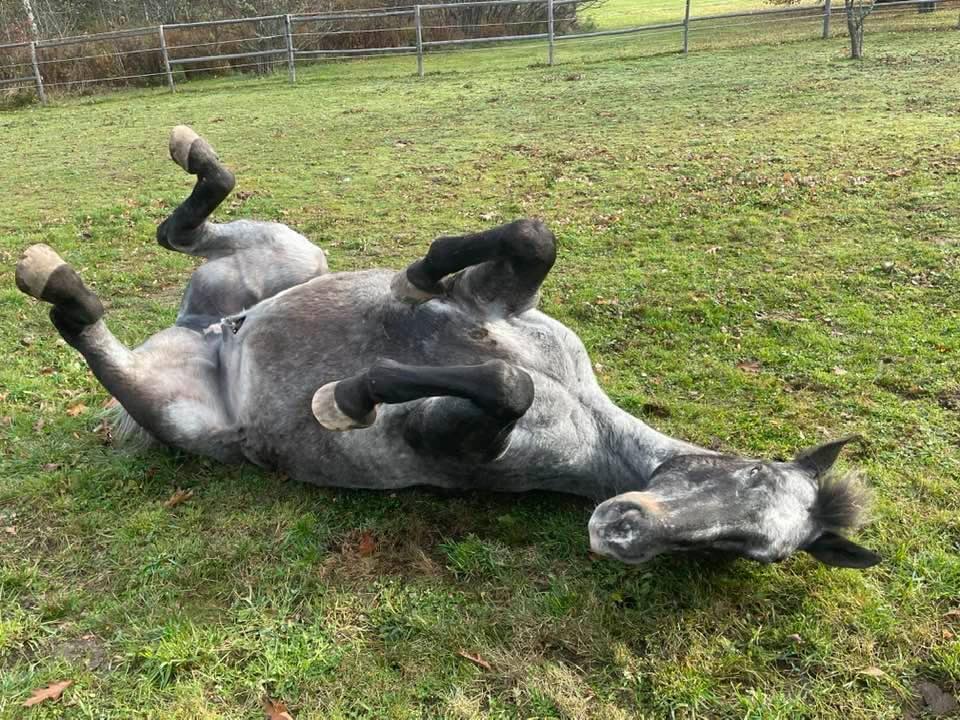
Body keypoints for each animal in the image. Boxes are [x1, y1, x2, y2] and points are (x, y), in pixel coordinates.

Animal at [14, 127, 880, 569]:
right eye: (750, 473)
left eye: (752, 552)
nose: (621, 533)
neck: (588, 420)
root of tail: (205, 334)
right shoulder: (500, 297)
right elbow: (530, 238)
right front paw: (417, 277)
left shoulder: (451, 432)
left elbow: (499, 384)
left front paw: (342, 399)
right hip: (290, 254)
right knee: (182, 230)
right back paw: (183, 163)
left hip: (176, 411)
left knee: (91, 331)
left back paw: (58, 278)